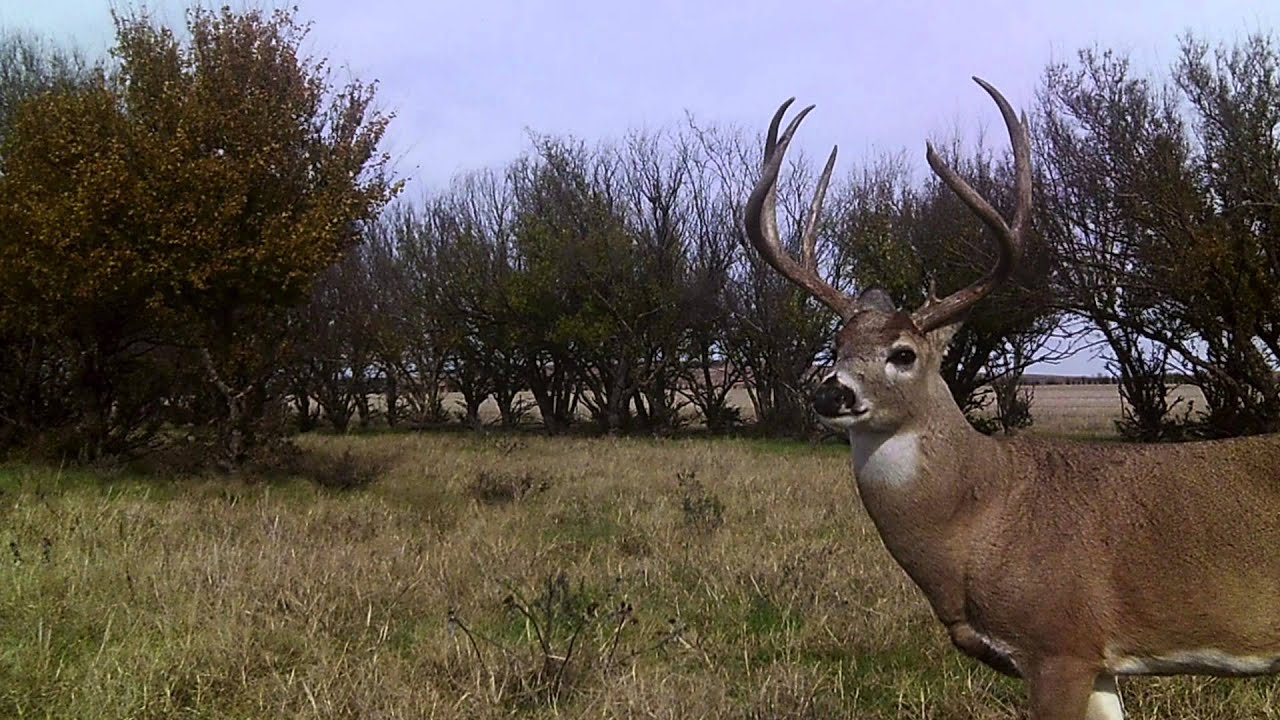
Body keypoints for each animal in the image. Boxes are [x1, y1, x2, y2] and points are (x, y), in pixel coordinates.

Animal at [744, 77, 1280, 720]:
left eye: (904, 353)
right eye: (837, 344)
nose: (830, 390)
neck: (979, 519)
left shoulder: (1059, 642)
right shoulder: (1097, 663)